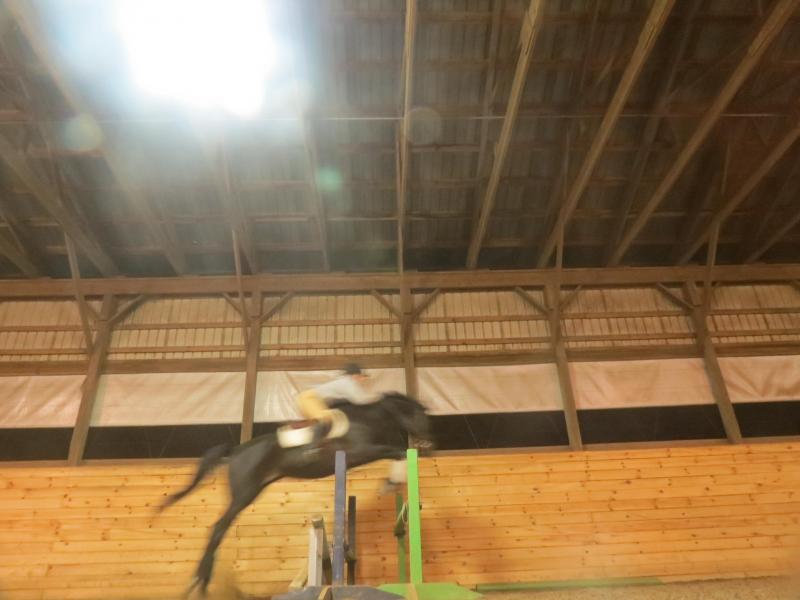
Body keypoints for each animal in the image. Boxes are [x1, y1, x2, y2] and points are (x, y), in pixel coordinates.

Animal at [158, 391, 434, 597]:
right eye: (421, 416)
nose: (430, 445)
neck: (371, 418)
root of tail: (235, 451)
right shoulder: (364, 450)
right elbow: (397, 451)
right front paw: (392, 481)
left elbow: (396, 453)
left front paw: (391, 482)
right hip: (244, 492)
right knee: (218, 528)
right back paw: (200, 582)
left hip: (254, 489)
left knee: (220, 528)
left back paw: (200, 580)